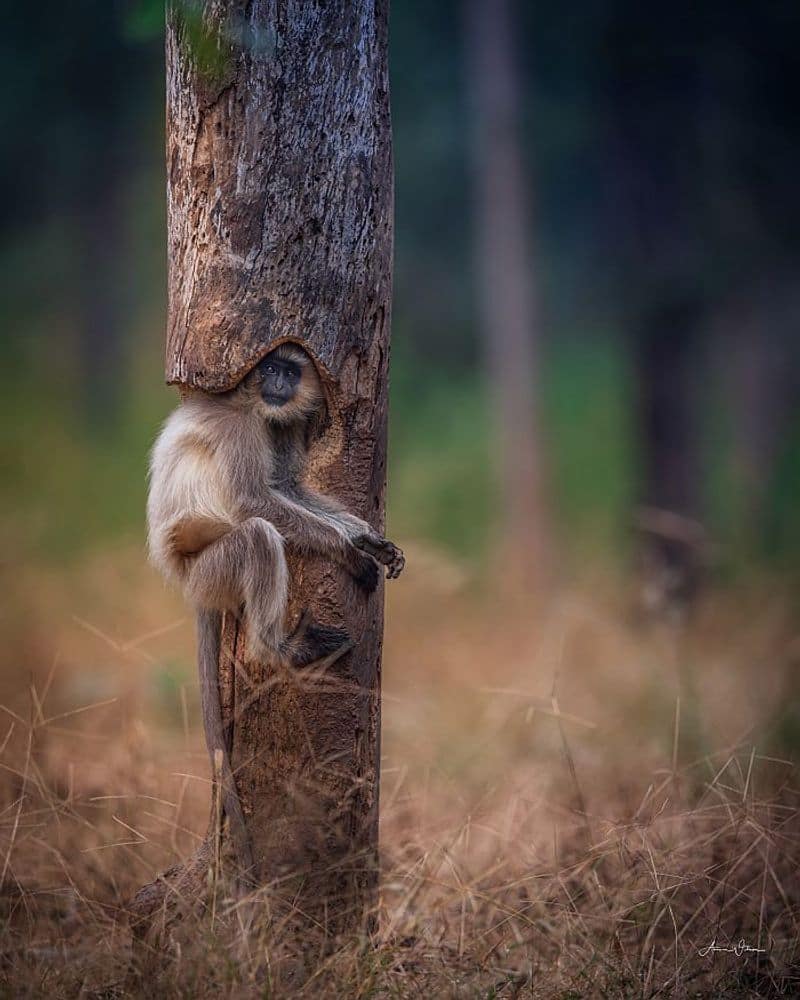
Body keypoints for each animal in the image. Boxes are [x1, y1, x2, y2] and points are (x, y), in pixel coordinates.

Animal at [147, 342, 404, 876]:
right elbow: (256, 501)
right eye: (267, 367)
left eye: (289, 369)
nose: (279, 384)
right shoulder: (242, 428)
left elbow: (286, 486)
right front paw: (349, 551)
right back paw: (279, 649)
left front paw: (368, 540)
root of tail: (188, 582)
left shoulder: (274, 425)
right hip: (213, 568)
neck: (246, 400)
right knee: (258, 536)